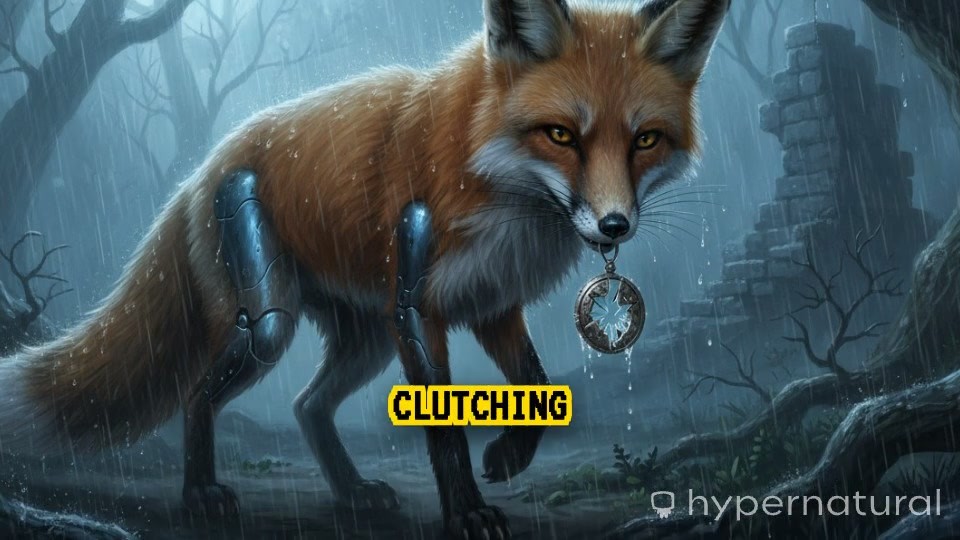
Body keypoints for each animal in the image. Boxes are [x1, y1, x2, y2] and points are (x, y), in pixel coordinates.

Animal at [0, 0, 729, 537]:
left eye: (644, 140)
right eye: (561, 135)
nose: (614, 226)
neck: (497, 183)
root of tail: (200, 170)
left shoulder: (491, 303)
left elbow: (536, 385)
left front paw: (507, 456)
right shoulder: (417, 303)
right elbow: (443, 426)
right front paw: (467, 513)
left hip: (368, 337)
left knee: (306, 405)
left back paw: (350, 491)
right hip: (280, 318)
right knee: (201, 389)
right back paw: (201, 491)